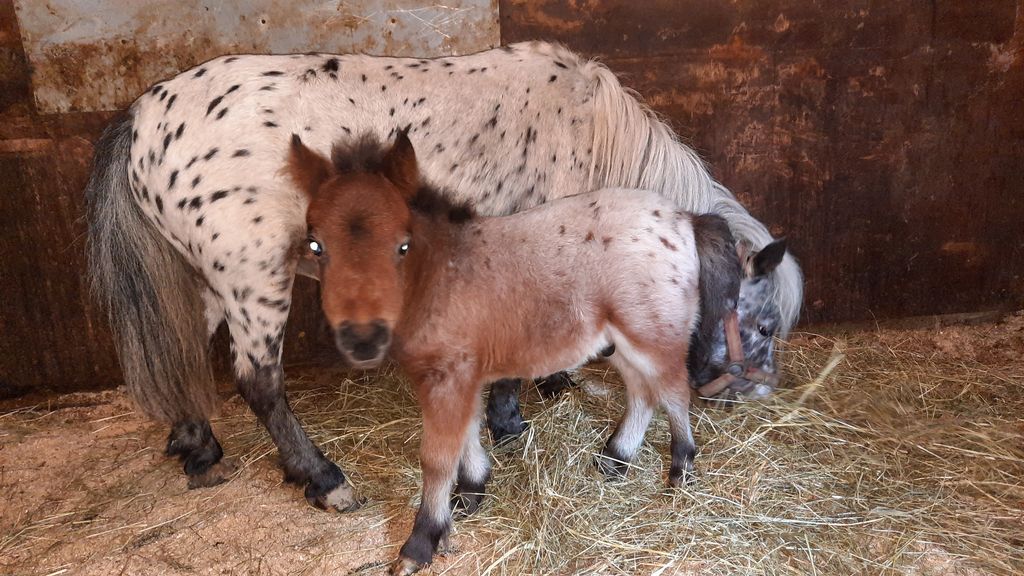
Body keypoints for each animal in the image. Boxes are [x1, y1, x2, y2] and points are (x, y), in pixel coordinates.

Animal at [88, 40, 802, 506]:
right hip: (256, 281)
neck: (592, 137)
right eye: (765, 326)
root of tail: (143, 118)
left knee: (184, 354)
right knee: (258, 383)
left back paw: (196, 447)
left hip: (218, 283)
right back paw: (323, 480)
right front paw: (513, 423)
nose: (747, 394)